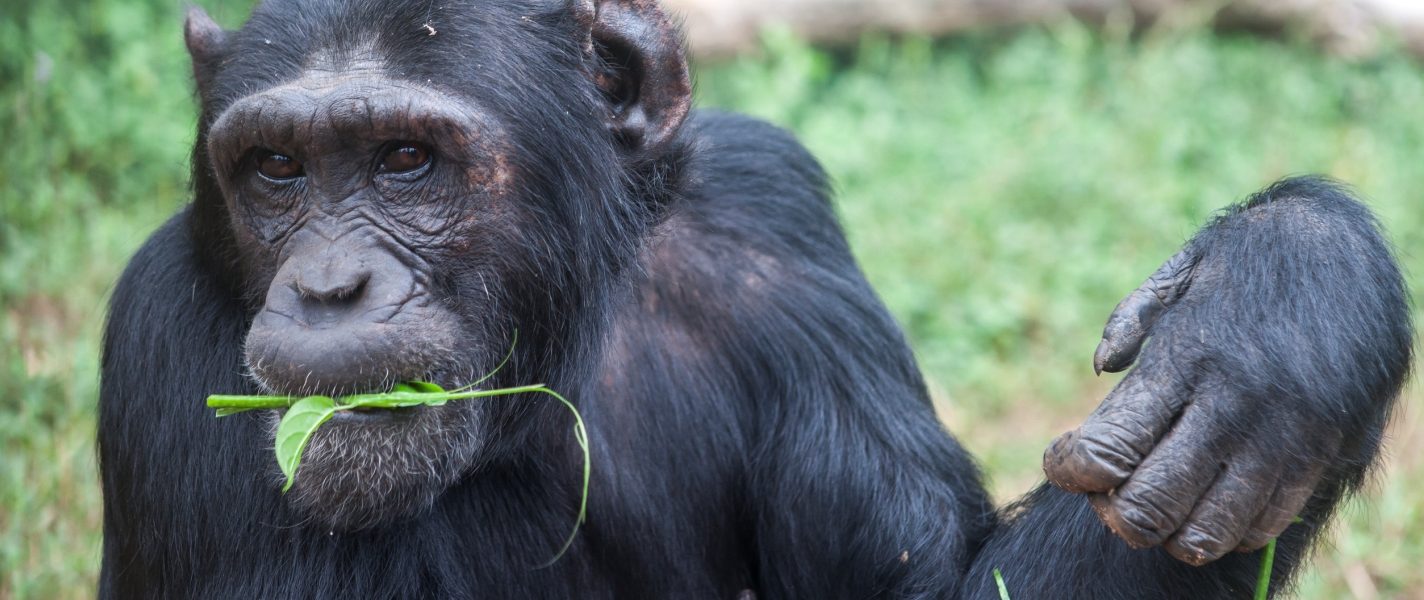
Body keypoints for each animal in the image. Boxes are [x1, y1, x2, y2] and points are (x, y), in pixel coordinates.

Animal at [100, 1, 1412, 592]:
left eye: (405, 161)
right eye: (277, 170)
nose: (329, 284)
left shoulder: (776, 230)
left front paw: (1278, 310)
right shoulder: (165, 334)